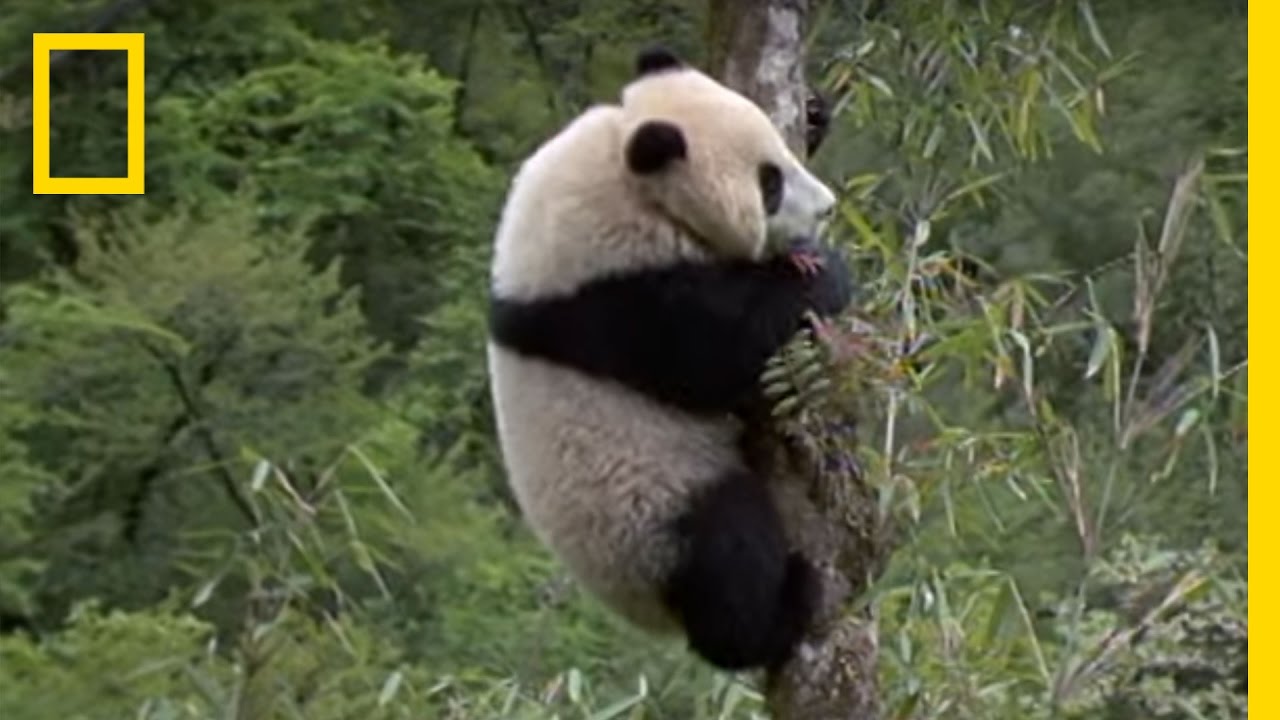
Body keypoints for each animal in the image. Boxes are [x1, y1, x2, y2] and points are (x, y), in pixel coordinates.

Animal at [485, 47, 852, 672]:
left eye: (782, 160)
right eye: (770, 185)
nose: (827, 209)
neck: (622, 166)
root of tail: (647, 613)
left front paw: (814, 113)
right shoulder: (614, 289)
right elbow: (719, 350)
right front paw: (825, 276)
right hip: (651, 516)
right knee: (727, 550)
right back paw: (781, 610)